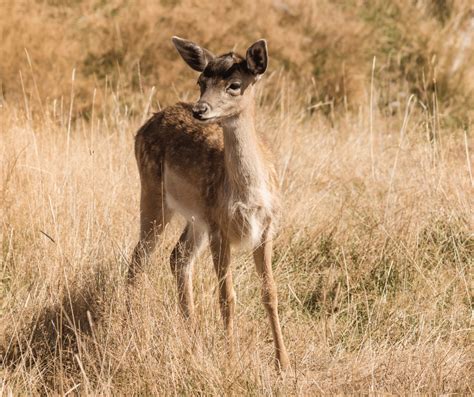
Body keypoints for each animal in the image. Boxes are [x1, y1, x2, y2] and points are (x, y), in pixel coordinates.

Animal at [129, 35, 288, 370]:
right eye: (201, 81)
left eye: (235, 85)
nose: (200, 109)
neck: (248, 196)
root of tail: (145, 125)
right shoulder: (220, 226)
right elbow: (227, 296)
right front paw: (231, 358)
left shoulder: (268, 226)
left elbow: (270, 292)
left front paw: (284, 364)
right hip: (153, 193)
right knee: (139, 258)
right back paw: (132, 327)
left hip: (196, 218)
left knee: (178, 256)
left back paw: (192, 336)